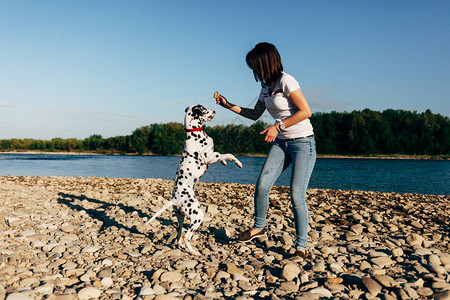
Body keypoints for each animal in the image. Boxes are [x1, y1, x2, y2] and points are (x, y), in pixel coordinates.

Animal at [147, 104, 243, 254]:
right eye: (203, 109)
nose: (214, 111)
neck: (194, 133)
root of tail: (176, 199)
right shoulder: (210, 156)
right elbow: (228, 154)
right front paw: (237, 162)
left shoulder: (213, 155)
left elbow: (222, 156)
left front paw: (224, 163)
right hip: (197, 216)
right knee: (186, 236)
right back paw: (194, 252)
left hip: (181, 218)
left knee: (179, 234)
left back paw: (181, 246)